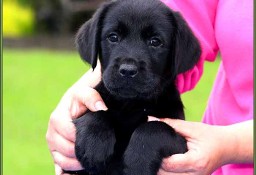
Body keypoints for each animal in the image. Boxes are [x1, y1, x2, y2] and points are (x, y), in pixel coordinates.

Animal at [66, 0, 202, 175]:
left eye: (155, 41)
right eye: (113, 37)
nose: (128, 70)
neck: (131, 105)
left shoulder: (182, 145)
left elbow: (155, 127)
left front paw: (138, 162)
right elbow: (95, 113)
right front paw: (94, 146)